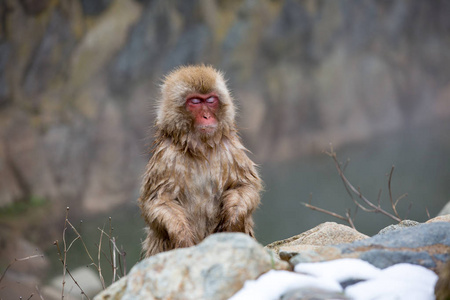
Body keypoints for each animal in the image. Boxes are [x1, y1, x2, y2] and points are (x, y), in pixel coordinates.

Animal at [139, 64, 262, 256]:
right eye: (195, 102)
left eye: (210, 100)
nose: (206, 116)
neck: (201, 148)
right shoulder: (166, 157)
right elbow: (158, 201)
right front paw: (182, 236)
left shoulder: (231, 150)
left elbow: (244, 186)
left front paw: (233, 218)